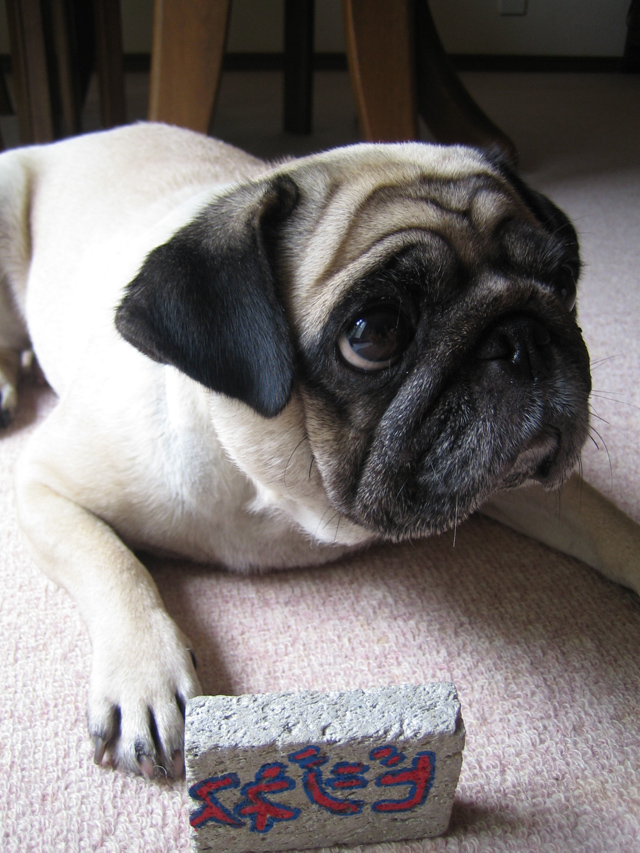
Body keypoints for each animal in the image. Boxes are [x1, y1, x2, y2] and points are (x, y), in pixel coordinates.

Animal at [1, 123, 638, 780]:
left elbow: (605, 526)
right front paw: (143, 678)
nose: (522, 338)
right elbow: (112, 563)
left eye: (563, 282)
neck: (283, 500)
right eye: (373, 333)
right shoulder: (42, 483)